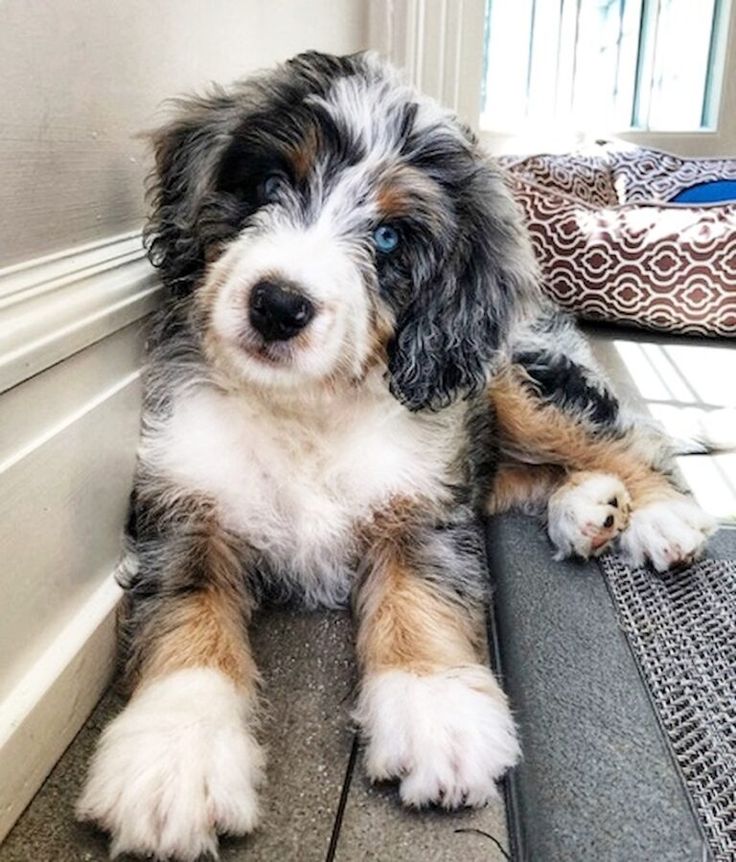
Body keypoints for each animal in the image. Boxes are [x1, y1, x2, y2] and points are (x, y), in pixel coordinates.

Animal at [77, 50, 716, 860]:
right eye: (271, 185)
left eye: (387, 240)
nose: (277, 306)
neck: (305, 408)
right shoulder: (183, 503)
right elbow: (184, 610)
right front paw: (173, 756)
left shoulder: (422, 501)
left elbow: (421, 590)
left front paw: (434, 710)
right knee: (518, 473)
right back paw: (588, 508)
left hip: (512, 376)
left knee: (620, 434)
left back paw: (659, 517)